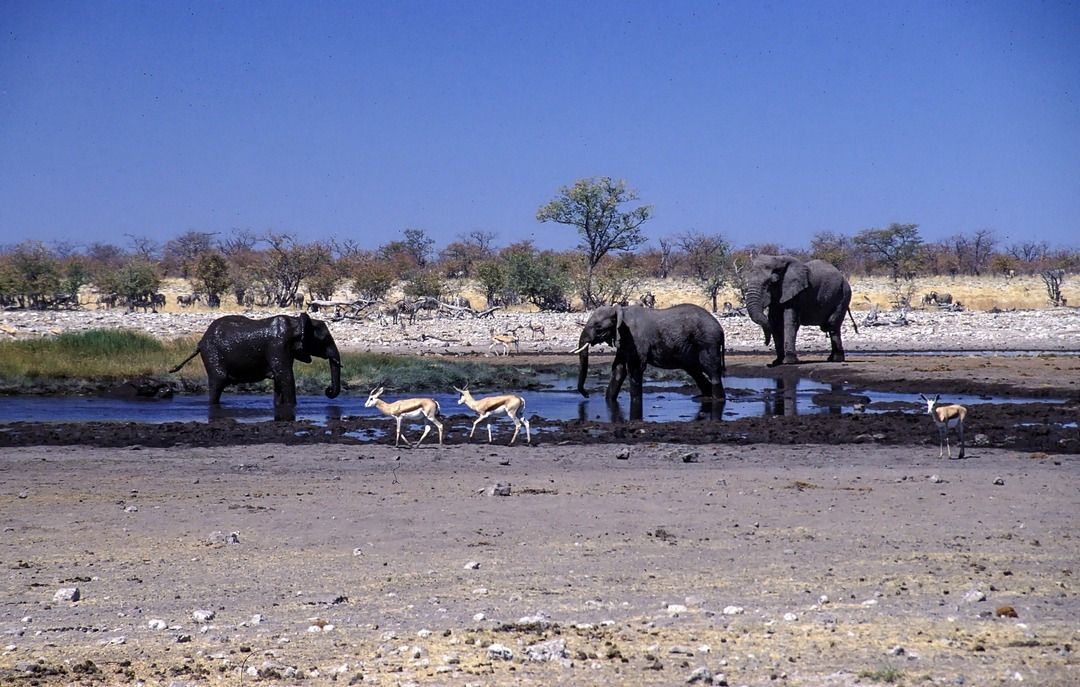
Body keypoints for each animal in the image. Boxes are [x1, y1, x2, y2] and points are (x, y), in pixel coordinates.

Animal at [169, 313, 341, 416]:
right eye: (325, 340)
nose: (328, 390)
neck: (296, 322)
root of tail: (200, 342)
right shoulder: (277, 345)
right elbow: (286, 377)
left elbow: (280, 379)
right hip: (212, 353)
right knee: (219, 380)